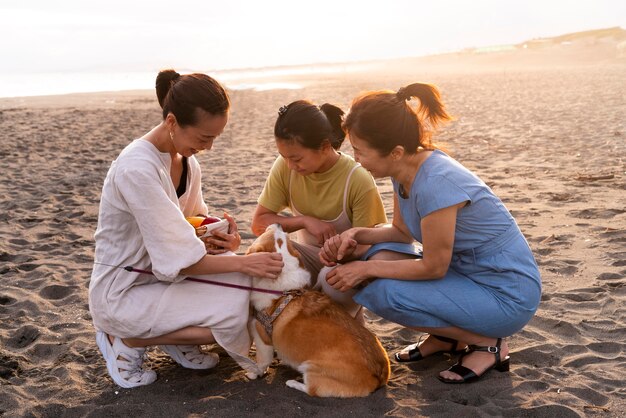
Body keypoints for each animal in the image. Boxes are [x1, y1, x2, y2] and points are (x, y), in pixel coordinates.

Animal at [245, 224, 388, 396]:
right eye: (285, 238)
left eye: (279, 236)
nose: (279, 224)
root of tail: (379, 375)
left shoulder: (261, 335)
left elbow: (262, 361)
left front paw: (254, 373)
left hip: (310, 367)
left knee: (311, 389)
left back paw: (293, 382)